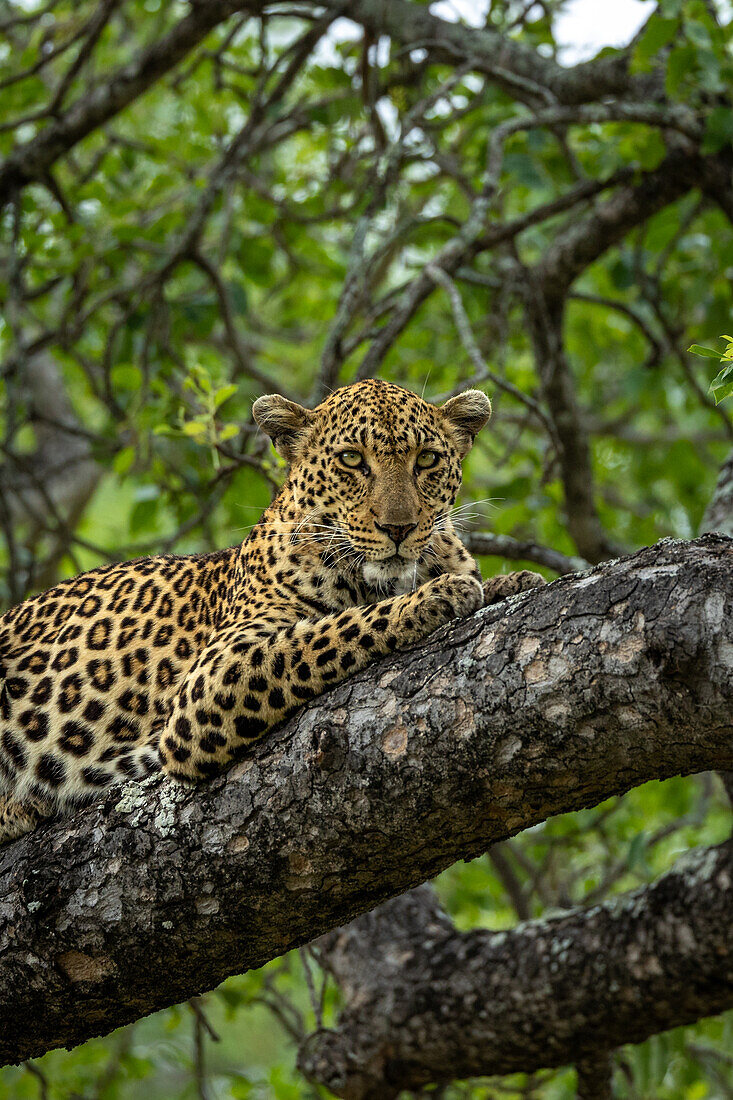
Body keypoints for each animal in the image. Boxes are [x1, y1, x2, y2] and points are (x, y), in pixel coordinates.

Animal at [0, 382, 541, 844]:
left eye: (427, 460)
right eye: (352, 460)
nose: (399, 528)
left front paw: (512, 581)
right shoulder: (213, 678)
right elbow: (331, 630)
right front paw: (441, 594)